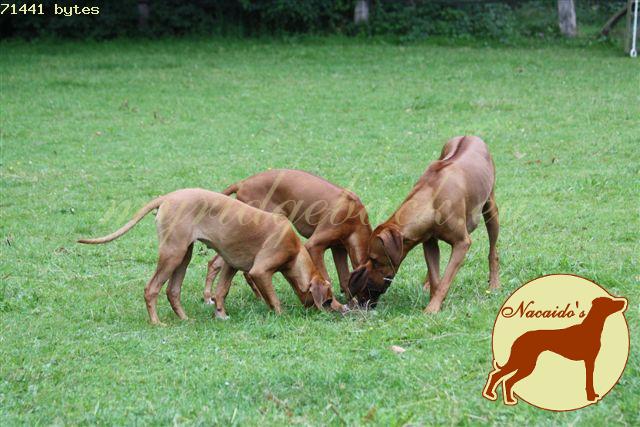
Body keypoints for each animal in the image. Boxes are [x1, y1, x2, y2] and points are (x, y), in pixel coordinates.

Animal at [78, 189, 344, 324]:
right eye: (329, 299)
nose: (343, 309)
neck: (295, 251)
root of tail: (168, 197)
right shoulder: (260, 271)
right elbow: (274, 299)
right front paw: (281, 316)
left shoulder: (230, 265)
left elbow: (221, 290)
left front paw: (220, 314)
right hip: (172, 254)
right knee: (151, 289)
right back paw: (156, 322)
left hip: (183, 256)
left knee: (172, 291)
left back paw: (185, 319)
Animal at [203, 169, 372, 303]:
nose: (370, 306)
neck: (355, 218)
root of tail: (243, 182)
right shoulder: (314, 246)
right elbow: (326, 278)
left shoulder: (339, 249)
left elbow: (344, 278)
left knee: (215, 262)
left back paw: (210, 298)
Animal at [347, 136, 499, 312]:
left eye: (375, 259)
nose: (365, 283)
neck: (431, 199)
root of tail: (469, 136)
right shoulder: (429, 243)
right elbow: (435, 277)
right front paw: (435, 300)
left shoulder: (462, 243)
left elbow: (445, 281)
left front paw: (432, 309)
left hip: (491, 210)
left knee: (493, 251)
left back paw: (495, 284)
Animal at [482, 296, 627, 405]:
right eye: (610, 301)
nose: (624, 302)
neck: (591, 328)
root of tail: (518, 338)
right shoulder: (589, 361)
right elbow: (589, 381)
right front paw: (591, 397)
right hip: (524, 363)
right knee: (501, 377)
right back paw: (495, 396)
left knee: (503, 378)